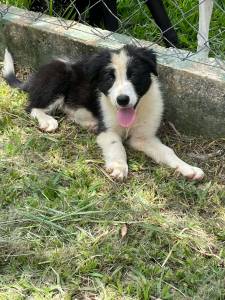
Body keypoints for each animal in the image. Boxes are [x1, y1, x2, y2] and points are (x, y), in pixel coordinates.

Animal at [2, 46, 205, 180]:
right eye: (109, 77)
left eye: (133, 75)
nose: (122, 100)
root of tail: (34, 77)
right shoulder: (108, 131)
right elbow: (117, 146)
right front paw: (119, 166)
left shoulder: (143, 138)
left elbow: (167, 151)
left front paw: (188, 168)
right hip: (59, 76)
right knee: (33, 107)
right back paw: (47, 121)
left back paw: (89, 123)